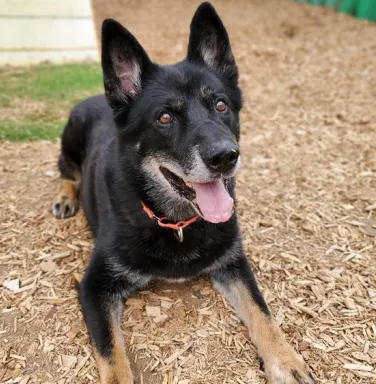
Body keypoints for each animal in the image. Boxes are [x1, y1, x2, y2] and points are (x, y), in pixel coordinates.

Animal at [50, 3, 314, 384]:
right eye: (164, 117)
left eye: (220, 105)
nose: (225, 157)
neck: (176, 222)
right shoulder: (94, 286)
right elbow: (113, 356)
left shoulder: (234, 263)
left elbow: (262, 312)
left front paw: (286, 360)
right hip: (70, 137)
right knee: (65, 171)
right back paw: (64, 197)